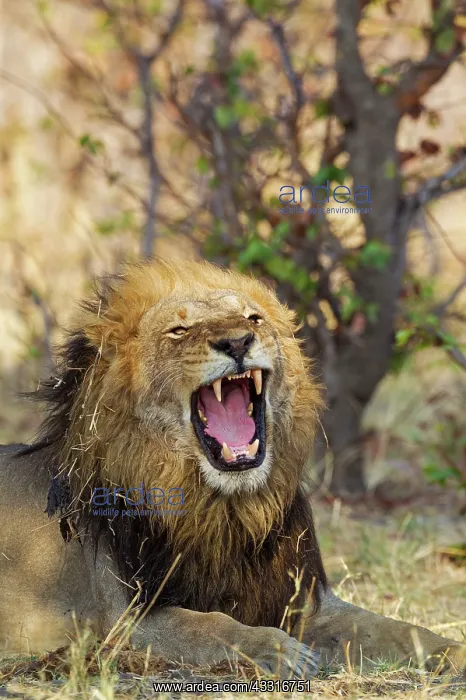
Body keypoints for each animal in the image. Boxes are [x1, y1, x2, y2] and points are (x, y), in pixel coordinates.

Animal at [0, 259, 464, 678]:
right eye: (179, 331)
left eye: (252, 318)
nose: (238, 342)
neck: (227, 509)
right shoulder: (129, 618)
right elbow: (210, 626)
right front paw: (278, 650)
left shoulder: (304, 600)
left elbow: (395, 629)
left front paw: (451, 651)